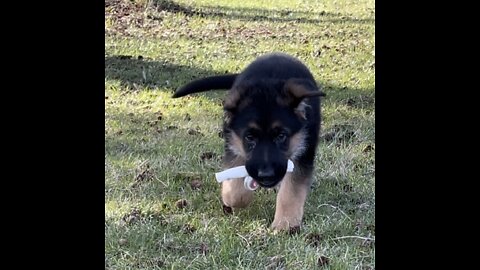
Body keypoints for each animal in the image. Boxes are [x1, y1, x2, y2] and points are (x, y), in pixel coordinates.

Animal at [171, 52, 324, 230]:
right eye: (249, 137)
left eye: (281, 136)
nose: (266, 175)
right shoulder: (234, 145)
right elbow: (235, 191)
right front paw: (235, 198)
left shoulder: (302, 153)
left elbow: (291, 192)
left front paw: (285, 224)